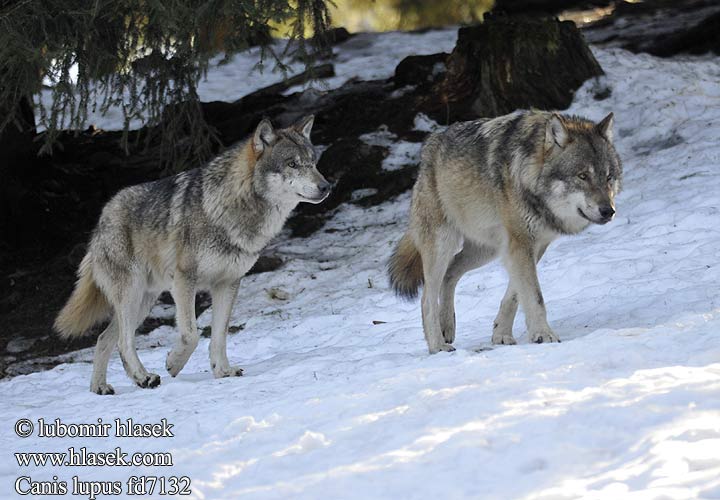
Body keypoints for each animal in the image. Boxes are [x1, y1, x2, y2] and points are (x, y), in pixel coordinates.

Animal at [56, 115, 332, 392]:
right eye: (292, 164)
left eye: (313, 162)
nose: (326, 187)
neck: (231, 208)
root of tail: (102, 218)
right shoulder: (184, 281)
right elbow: (191, 334)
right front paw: (173, 363)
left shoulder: (228, 284)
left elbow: (219, 334)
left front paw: (222, 371)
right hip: (132, 294)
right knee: (124, 342)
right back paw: (144, 377)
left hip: (144, 301)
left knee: (104, 338)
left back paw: (100, 388)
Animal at [390, 110, 620, 352]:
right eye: (582, 176)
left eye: (608, 177)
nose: (608, 211)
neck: (529, 178)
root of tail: (429, 147)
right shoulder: (520, 245)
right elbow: (535, 296)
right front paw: (544, 334)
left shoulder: (531, 247)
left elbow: (515, 295)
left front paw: (501, 334)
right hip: (443, 244)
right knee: (427, 298)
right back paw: (437, 345)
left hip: (486, 251)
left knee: (451, 273)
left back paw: (447, 326)